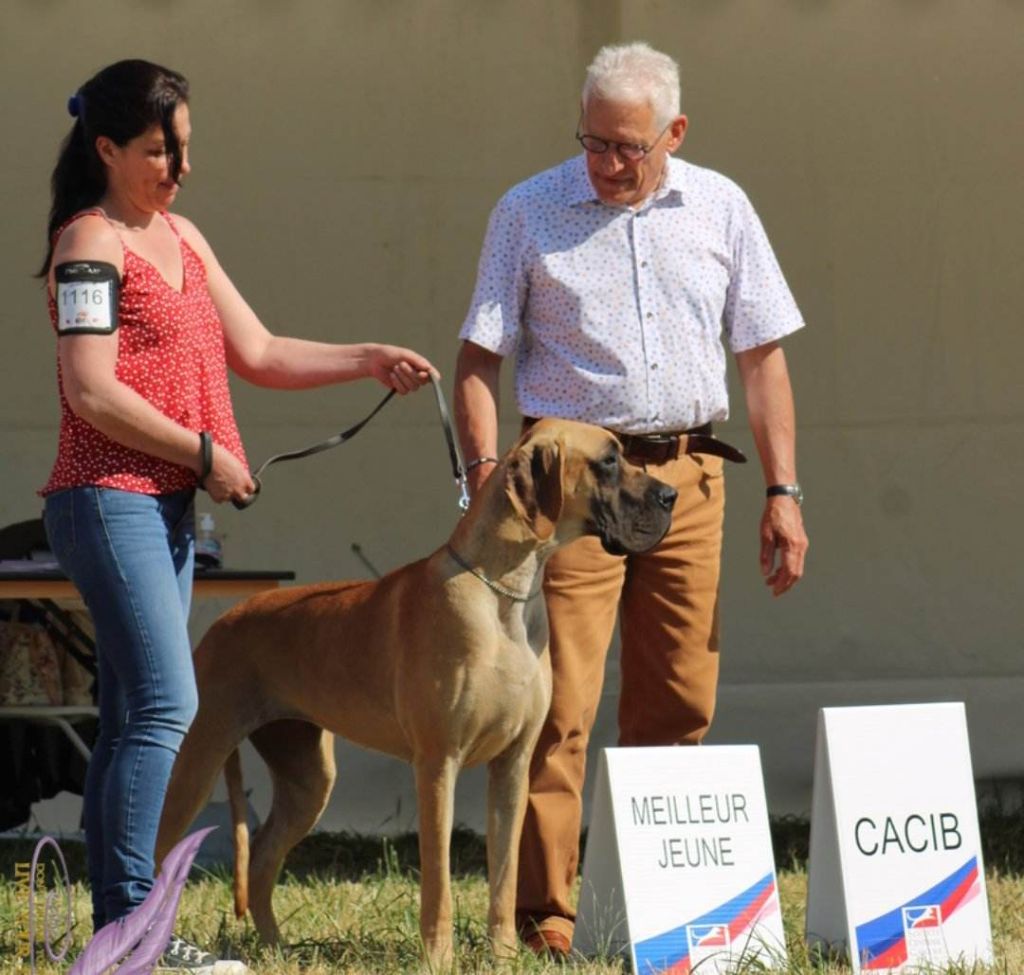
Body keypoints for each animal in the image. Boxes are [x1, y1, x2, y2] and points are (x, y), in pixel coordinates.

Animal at [155, 419, 675, 966]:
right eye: (610, 460)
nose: (671, 496)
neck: (502, 590)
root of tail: (224, 621)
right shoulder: (438, 764)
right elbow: (439, 881)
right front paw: (439, 959)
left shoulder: (513, 765)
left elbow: (505, 876)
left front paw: (504, 957)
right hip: (196, 759)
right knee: (157, 851)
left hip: (307, 777)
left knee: (261, 858)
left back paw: (278, 950)